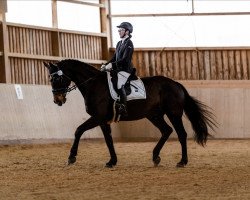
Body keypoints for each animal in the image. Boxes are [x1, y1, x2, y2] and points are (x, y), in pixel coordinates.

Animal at [43, 59, 217, 167]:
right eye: (50, 79)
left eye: (57, 79)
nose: (58, 100)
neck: (93, 84)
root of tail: (176, 84)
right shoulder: (103, 120)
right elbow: (108, 140)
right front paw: (112, 161)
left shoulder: (98, 117)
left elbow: (78, 130)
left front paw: (71, 157)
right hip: (154, 115)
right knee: (166, 131)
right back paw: (155, 157)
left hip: (173, 113)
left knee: (181, 134)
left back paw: (182, 162)